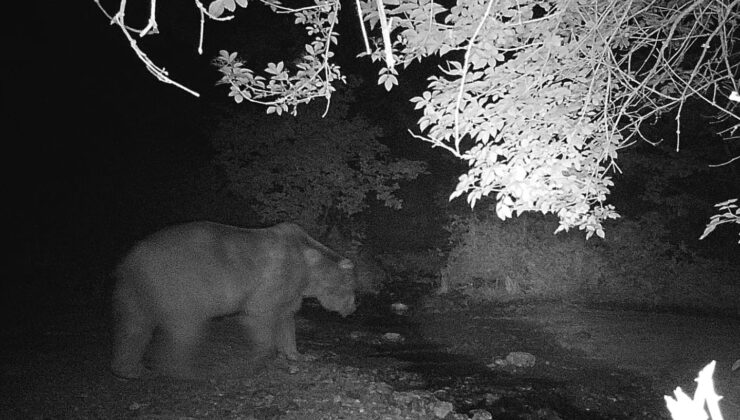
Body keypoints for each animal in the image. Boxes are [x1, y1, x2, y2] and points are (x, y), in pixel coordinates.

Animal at [107, 221, 358, 378]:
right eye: (354, 290)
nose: (354, 309)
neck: (310, 271)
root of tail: (128, 260)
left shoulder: (290, 291)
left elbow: (286, 319)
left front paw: (299, 355)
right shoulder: (277, 277)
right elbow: (260, 313)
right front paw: (259, 359)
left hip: (138, 288)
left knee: (135, 327)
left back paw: (129, 369)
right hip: (181, 283)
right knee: (184, 327)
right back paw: (186, 371)